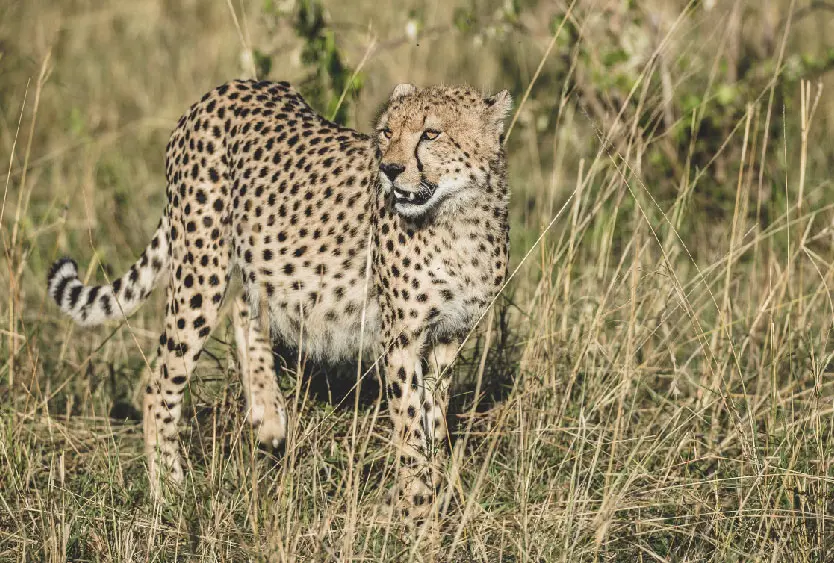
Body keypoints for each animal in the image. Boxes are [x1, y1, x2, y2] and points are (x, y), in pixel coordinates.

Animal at [46, 79, 512, 530]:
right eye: (386, 132)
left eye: (431, 133)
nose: (390, 168)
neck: (458, 217)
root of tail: (228, 88)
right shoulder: (400, 340)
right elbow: (412, 431)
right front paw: (420, 519)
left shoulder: (449, 337)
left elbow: (434, 421)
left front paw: (429, 498)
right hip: (202, 265)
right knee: (161, 379)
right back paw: (170, 494)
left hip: (269, 261)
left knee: (244, 309)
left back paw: (267, 417)